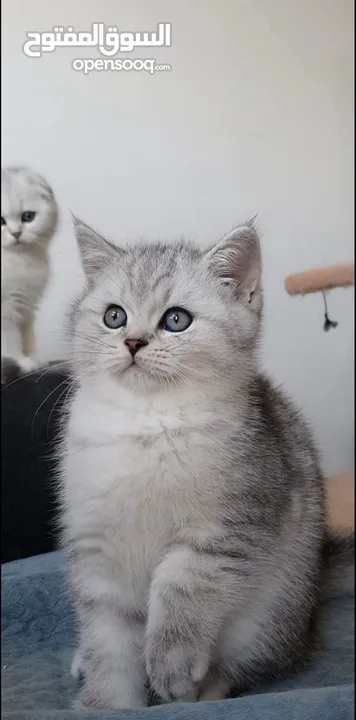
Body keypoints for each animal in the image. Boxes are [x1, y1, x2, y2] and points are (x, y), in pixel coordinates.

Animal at [0, 165, 57, 376]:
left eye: (28, 217)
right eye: (1, 221)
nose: (16, 233)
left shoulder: (26, 306)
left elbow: (27, 335)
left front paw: (34, 358)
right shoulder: (6, 309)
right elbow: (10, 339)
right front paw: (21, 361)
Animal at [59, 218, 352, 708]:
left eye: (176, 320)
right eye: (114, 316)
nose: (133, 341)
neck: (145, 425)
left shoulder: (226, 529)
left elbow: (180, 586)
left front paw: (171, 664)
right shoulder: (97, 550)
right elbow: (107, 639)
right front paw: (105, 703)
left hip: (268, 618)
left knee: (246, 666)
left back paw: (203, 690)